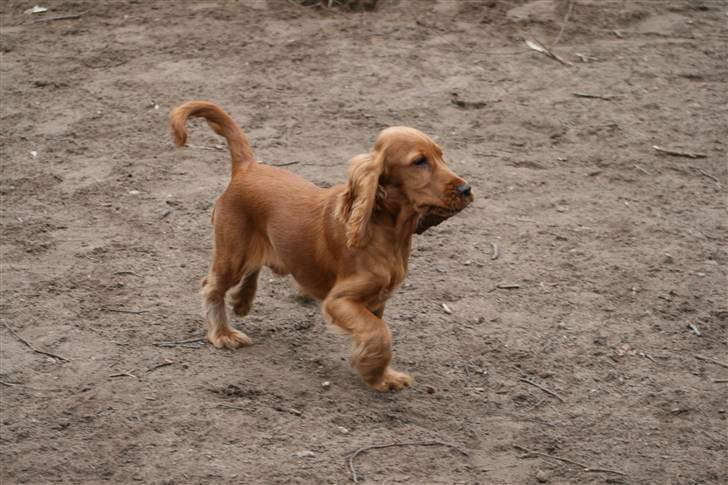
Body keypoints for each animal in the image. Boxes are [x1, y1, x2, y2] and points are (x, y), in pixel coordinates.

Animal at [173, 101, 474, 390]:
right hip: (232, 253)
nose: (466, 189)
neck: (388, 231)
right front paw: (374, 373)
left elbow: (377, 331)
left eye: (441, 156)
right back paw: (223, 333)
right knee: (211, 286)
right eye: (419, 161)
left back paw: (242, 301)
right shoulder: (340, 300)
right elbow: (380, 333)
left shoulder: (376, 301)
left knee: (253, 268)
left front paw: (381, 376)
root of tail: (247, 167)